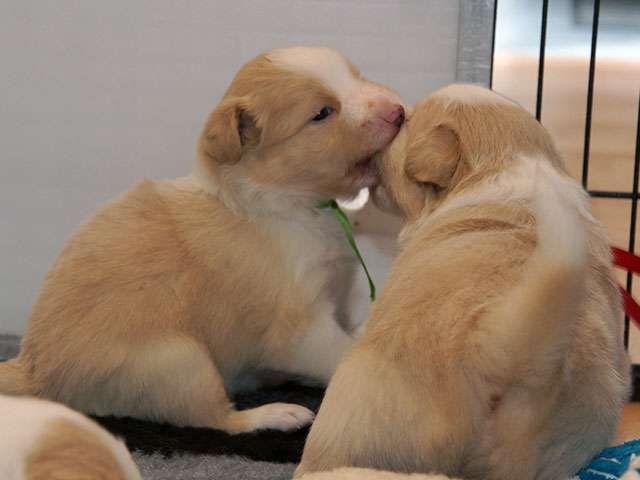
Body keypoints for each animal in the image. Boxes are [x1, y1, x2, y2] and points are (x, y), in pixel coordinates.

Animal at [0, 46, 405, 433]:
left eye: (357, 76)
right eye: (322, 113)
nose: (398, 112)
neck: (287, 206)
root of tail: (32, 369)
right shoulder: (301, 326)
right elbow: (341, 352)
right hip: (183, 362)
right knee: (215, 418)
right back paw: (275, 414)